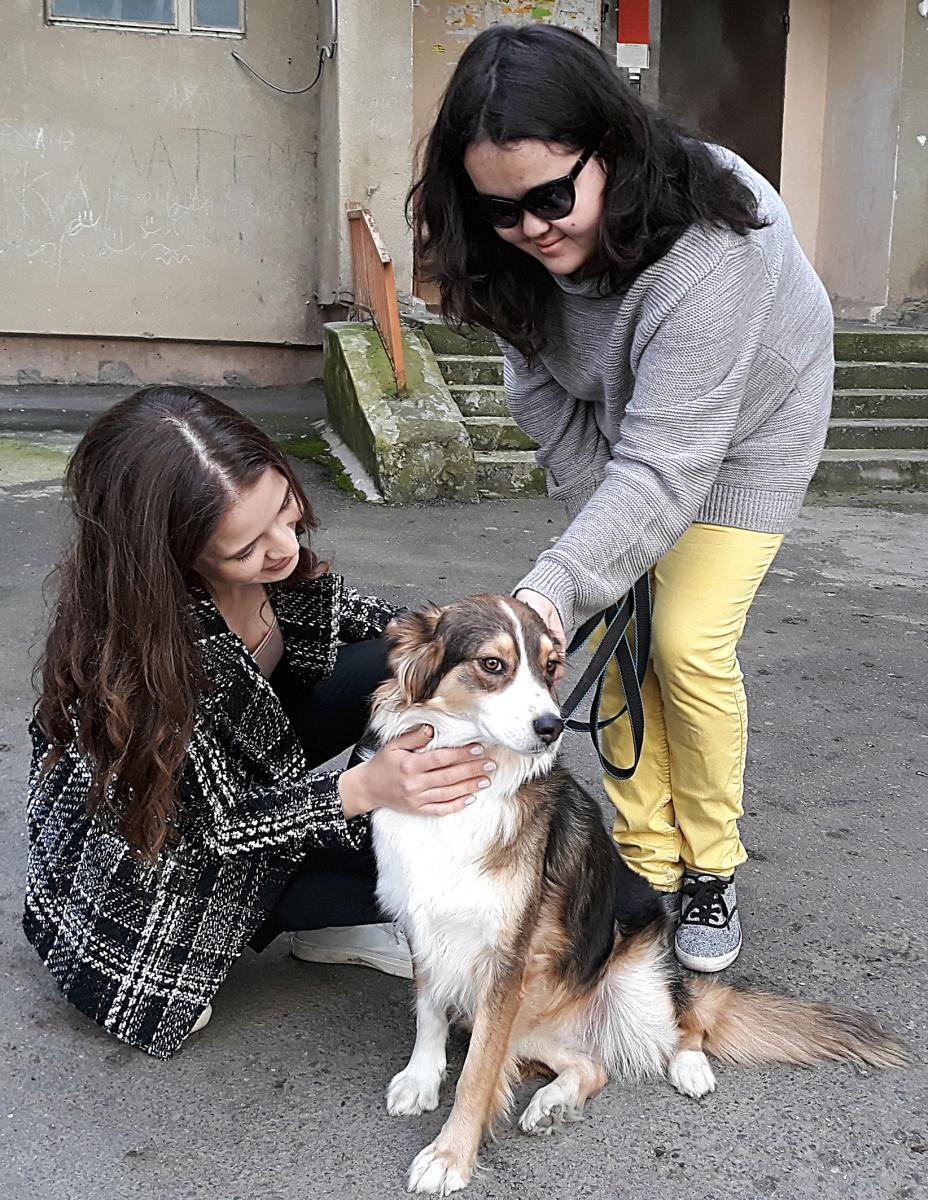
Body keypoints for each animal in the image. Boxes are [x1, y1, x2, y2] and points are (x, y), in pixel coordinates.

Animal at [364, 595, 902, 1195]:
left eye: (550, 666)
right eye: (492, 665)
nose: (551, 726)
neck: (470, 786)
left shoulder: (507, 957)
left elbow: (478, 1073)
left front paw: (450, 1156)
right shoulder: (426, 926)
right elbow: (428, 1007)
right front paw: (421, 1078)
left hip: (634, 983)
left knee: (687, 1023)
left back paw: (688, 1065)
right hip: (533, 1012)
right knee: (590, 1064)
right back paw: (551, 1103)